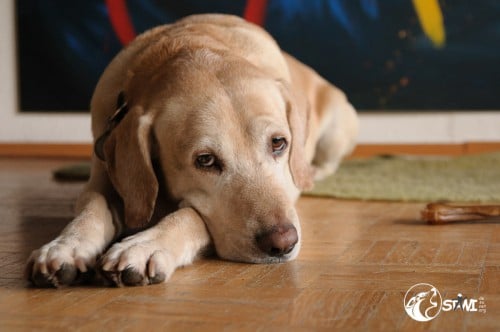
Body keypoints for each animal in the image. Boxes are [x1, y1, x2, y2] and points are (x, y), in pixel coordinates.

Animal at [25, 14, 358, 286]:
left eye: (278, 143)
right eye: (206, 160)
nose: (283, 243)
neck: (188, 44)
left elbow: (191, 215)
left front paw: (144, 245)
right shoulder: (102, 174)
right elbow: (92, 205)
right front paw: (66, 246)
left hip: (338, 123)